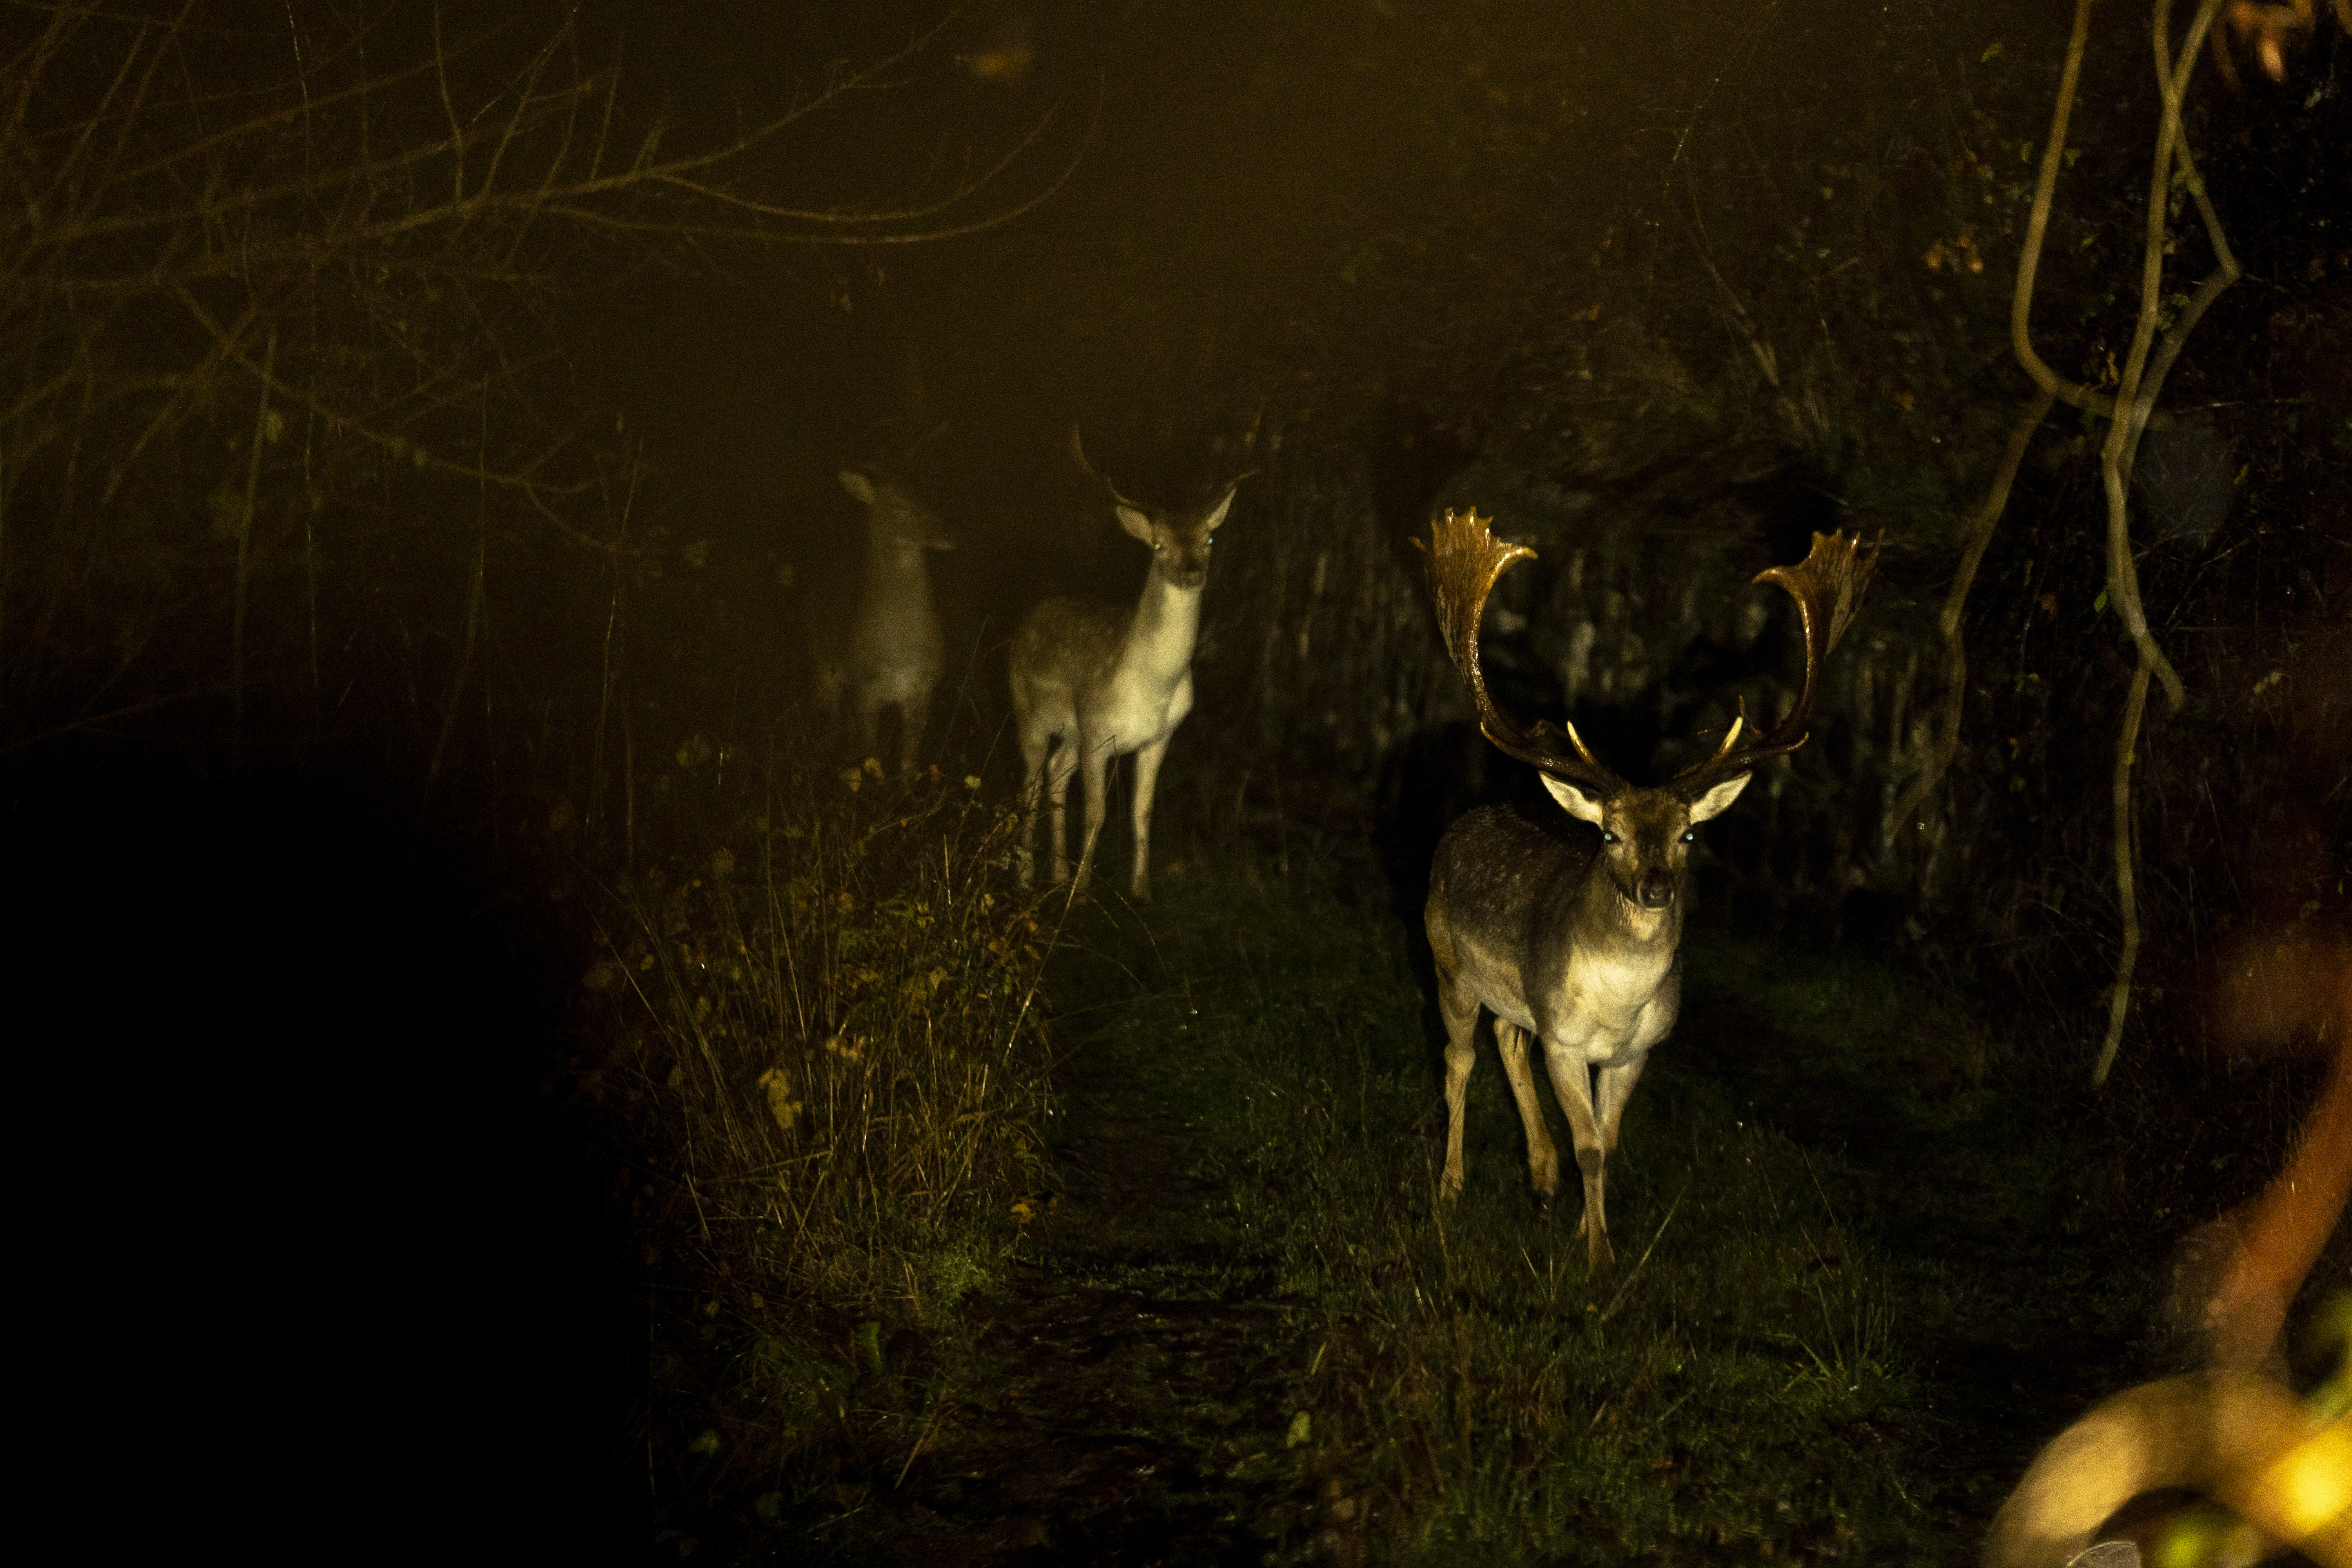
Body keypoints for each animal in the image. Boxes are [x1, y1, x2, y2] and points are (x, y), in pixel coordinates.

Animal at [811, 468, 954, 777]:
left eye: (929, 496)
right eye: (899, 505)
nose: (951, 533)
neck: (899, 651)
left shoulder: (924, 689)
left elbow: (908, 762)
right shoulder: (865, 688)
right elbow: (872, 757)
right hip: (822, 662)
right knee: (832, 724)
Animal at [1008, 425, 1256, 900]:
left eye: (1208, 539)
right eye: (1159, 544)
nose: (1193, 571)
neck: (1152, 688)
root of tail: (1022, 622)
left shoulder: (1159, 737)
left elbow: (1142, 812)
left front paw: (1141, 891)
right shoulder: (1098, 730)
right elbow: (1098, 814)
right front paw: (1081, 894)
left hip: (1072, 732)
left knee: (1055, 774)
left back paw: (1056, 874)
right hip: (1028, 709)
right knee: (1029, 783)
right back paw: (1027, 876)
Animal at [1418, 508, 1879, 1274]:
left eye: (1689, 835)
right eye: (1609, 835)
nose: (1656, 888)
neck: (1617, 1005)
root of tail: (1463, 822)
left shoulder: (1638, 1051)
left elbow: (1608, 1145)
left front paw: (1586, 1230)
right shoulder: (1566, 1040)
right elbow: (1589, 1146)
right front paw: (1599, 1258)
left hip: (1515, 992)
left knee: (1509, 1039)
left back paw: (1540, 1181)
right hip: (1447, 960)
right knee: (1459, 1061)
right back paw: (1451, 1185)